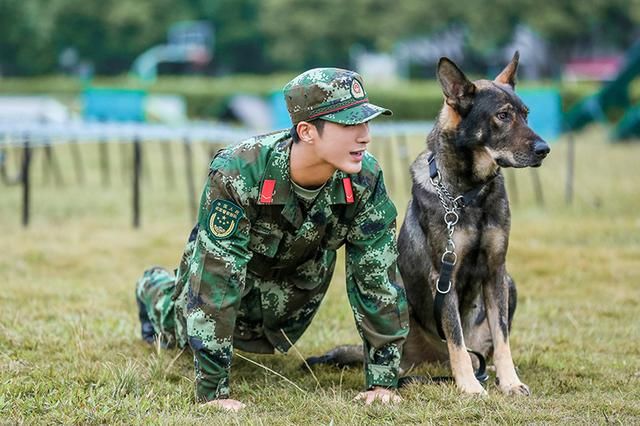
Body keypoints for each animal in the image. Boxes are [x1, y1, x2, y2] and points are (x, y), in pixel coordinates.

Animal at [308, 52, 552, 396]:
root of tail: (433, 361)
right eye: (503, 116)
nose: (545, 150)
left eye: (526, 115)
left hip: (509, 285)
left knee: (482, 349)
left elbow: (503, 338)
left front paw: (510, 382)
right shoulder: (443, 275)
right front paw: (469, 387)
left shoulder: (496, 270)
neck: (469, 194)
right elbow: (456, 339)